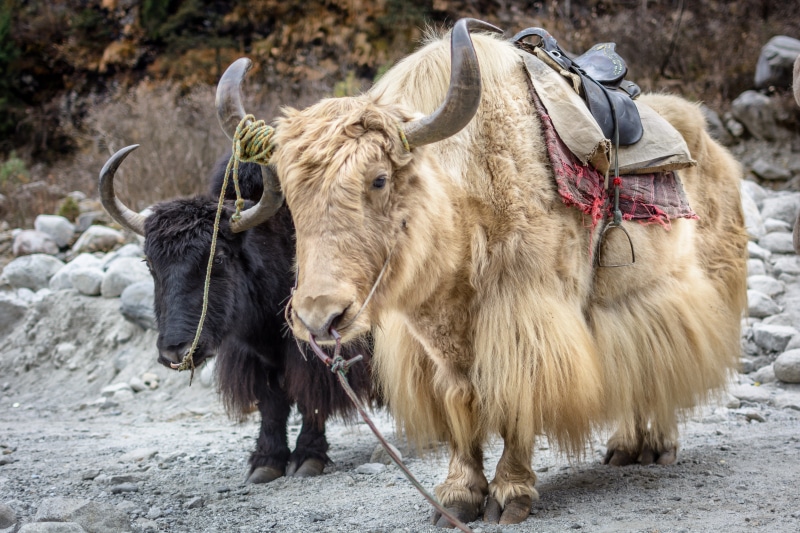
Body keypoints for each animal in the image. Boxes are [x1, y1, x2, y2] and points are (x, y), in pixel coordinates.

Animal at [98, 147, 375, 484]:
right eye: (149, 263)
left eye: (218, 257)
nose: (176, 350)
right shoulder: (256, 358)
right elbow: (271, 404)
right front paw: (266, 463)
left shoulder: (317, 345)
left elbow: (312, 396)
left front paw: (307, 458)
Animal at [213, 18, 748, 526]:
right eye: (291, 198)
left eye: (379, 180)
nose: (320, 318)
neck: (466, 211)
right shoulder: (438, 345)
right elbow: (460, 405)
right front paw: (459, 496)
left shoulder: (525, 319)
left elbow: (515, 399)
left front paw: (510, 494)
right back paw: (624, 448)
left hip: (691, 285)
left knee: (668, 365)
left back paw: (656, 446)